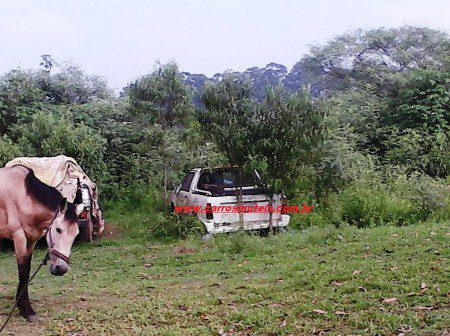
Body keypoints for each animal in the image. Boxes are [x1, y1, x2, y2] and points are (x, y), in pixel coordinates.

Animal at [0, 165, 82, 322]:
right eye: (58, 229)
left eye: (76, 234)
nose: (61, 269)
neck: (24, 196)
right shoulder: (19, 236)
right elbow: (23, 272)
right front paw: (28, 310)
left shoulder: (31, 240)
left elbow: (27, 271)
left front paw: (21, 307)